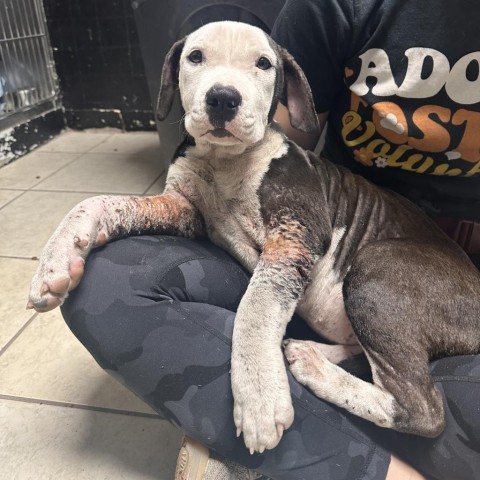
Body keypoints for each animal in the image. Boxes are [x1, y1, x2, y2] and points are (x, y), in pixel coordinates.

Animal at [27, 22, 480, 456]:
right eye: (195, 56)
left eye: (264, 63)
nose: (223, 98)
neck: (225, 160)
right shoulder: (183, 209)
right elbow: (98, 202)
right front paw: (55, 262)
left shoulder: (295, 236)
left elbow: (255, 306)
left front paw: (259, 398)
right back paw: (306, 353)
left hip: (377, 265)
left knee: (423, 410)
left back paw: (316, 371)